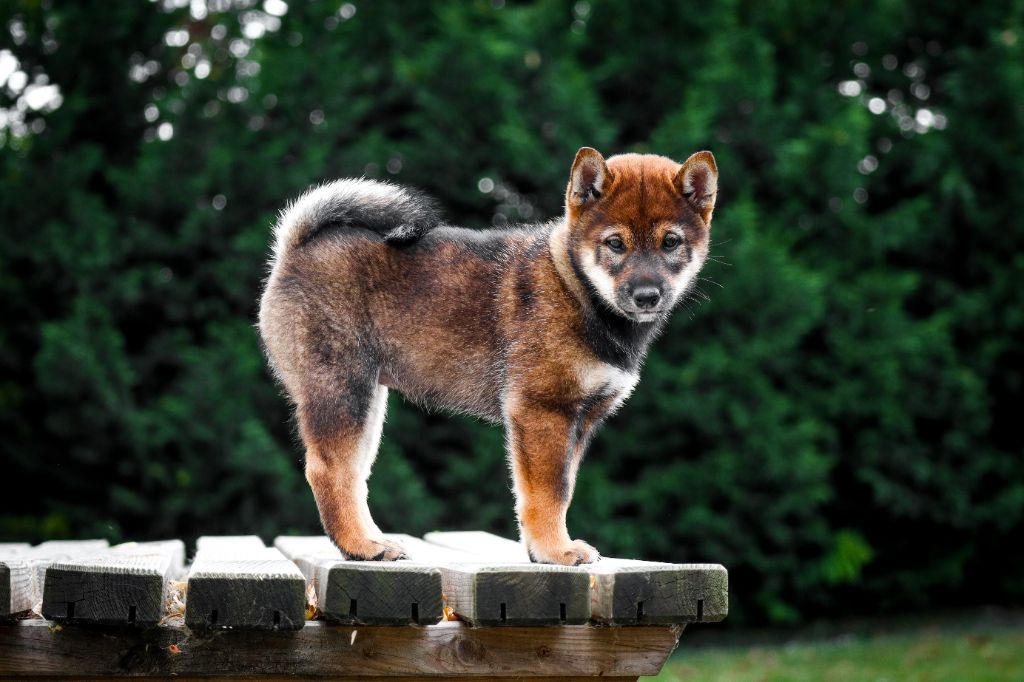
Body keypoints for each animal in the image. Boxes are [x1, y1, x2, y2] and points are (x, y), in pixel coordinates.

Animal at [258, 147, 718, 565]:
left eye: (671, 242)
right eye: (615, 244)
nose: (647, 295)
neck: (575, 288)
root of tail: (293, 249)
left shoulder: (580, 419)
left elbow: (561, 489)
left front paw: (543, 549)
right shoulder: (543, 411)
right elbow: (548, 493)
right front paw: (556, 551)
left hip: (369, 402)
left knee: (354, 475)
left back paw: (373, 541)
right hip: (342, 390)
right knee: (328, 471)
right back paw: (360, 546)